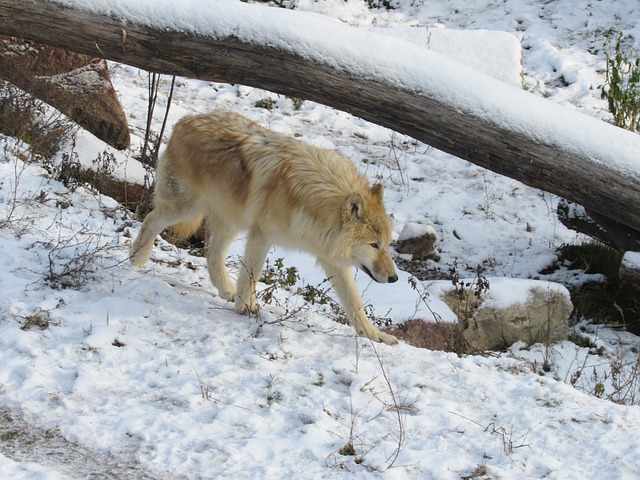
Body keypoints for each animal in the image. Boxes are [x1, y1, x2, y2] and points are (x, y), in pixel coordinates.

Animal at [130, 111, 400, 344]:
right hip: (185, 208)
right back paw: (136, 259)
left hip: (229, 223)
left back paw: (226, 291)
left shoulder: (330, 257)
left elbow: (355, 302)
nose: (395, 278)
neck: (314, 203)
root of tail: (185, 120)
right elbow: (252, 275)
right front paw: (247, 308)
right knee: (150, 220)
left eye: (386, 245)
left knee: (212, 255)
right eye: (374, 245)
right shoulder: (262, 235)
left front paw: (375, 336)